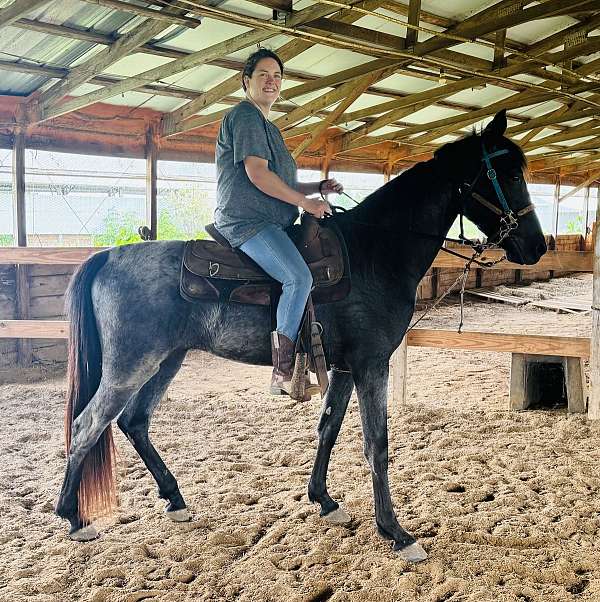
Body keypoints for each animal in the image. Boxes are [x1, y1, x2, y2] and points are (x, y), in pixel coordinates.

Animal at [56, 109, 548, 564]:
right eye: (508, 173)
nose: (537, 246)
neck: (375, 252)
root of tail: (108, 256)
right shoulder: (372, 364)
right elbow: (377, 444)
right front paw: (396, 532)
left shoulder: (345, 366)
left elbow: (328, 427)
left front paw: (324, 500)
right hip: (130, 366)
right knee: (86, 427)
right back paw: (74, 518)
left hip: (166, 360)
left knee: (133, 421)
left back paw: (175, 501)